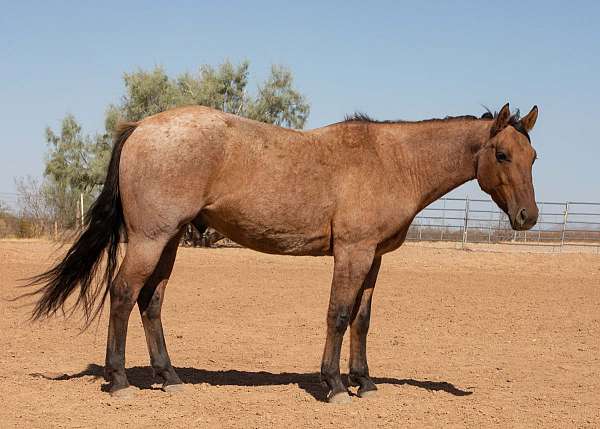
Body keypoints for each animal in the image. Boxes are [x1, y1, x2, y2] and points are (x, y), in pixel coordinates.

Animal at [25, 102, 540, 402]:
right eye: (502, 155)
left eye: (532, 157)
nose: (528, 217)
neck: (391, 161)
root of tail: (140, 127)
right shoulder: (352, 253)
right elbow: (337, 314)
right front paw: (334, 385)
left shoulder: (374, 257)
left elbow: (362, 319)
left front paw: (365, 382)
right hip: (151, 238)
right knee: (123, 294)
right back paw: (119, 381)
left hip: (168, 241)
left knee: (151, 303)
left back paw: (169, 378)